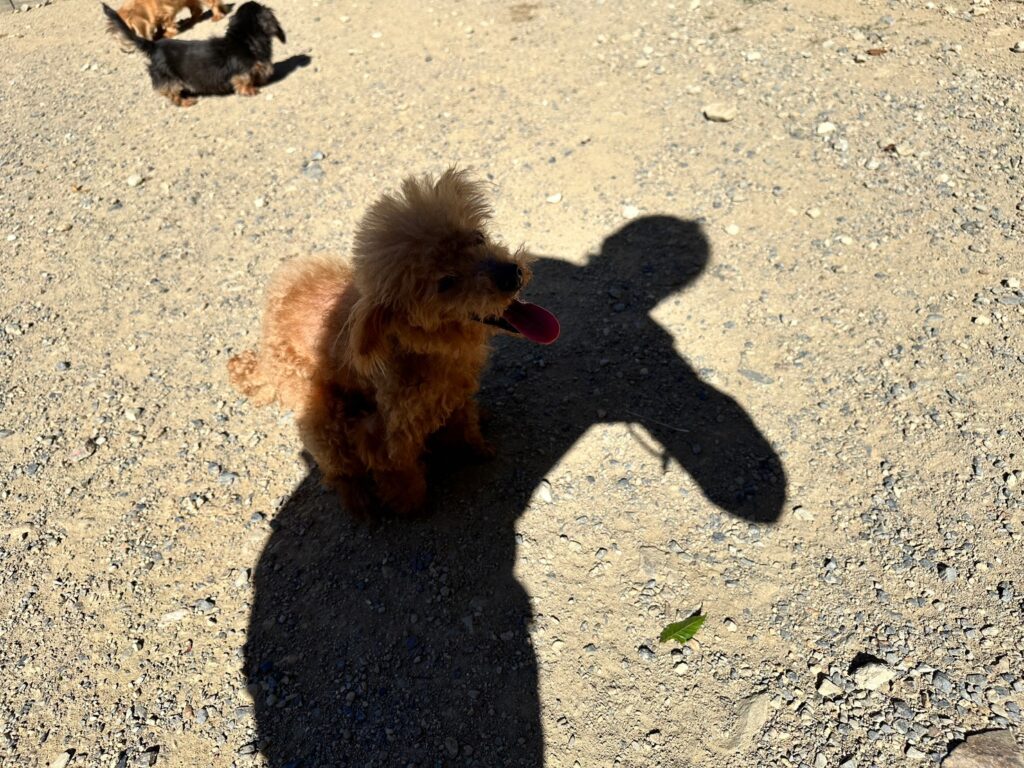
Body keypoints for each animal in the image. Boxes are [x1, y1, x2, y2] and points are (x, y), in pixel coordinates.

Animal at [102, 1, 284, 107]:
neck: (244, 39)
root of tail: (154, 46)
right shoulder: (241, 71)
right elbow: (244, 80)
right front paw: (251, 90)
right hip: (169, 78)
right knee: (171, 94)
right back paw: (186, 101)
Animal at [228, 169, 560, 517]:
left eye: (478, 238)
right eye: (446, 283)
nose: (511, 274)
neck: (426, 350)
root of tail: (264, 344)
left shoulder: (457, 392)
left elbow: (465, 424)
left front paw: (476, 448)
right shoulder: (384, 432)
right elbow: (399, 471)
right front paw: (410, 507)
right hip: (319, 411)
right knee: (337, 467)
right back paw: (357, 499)